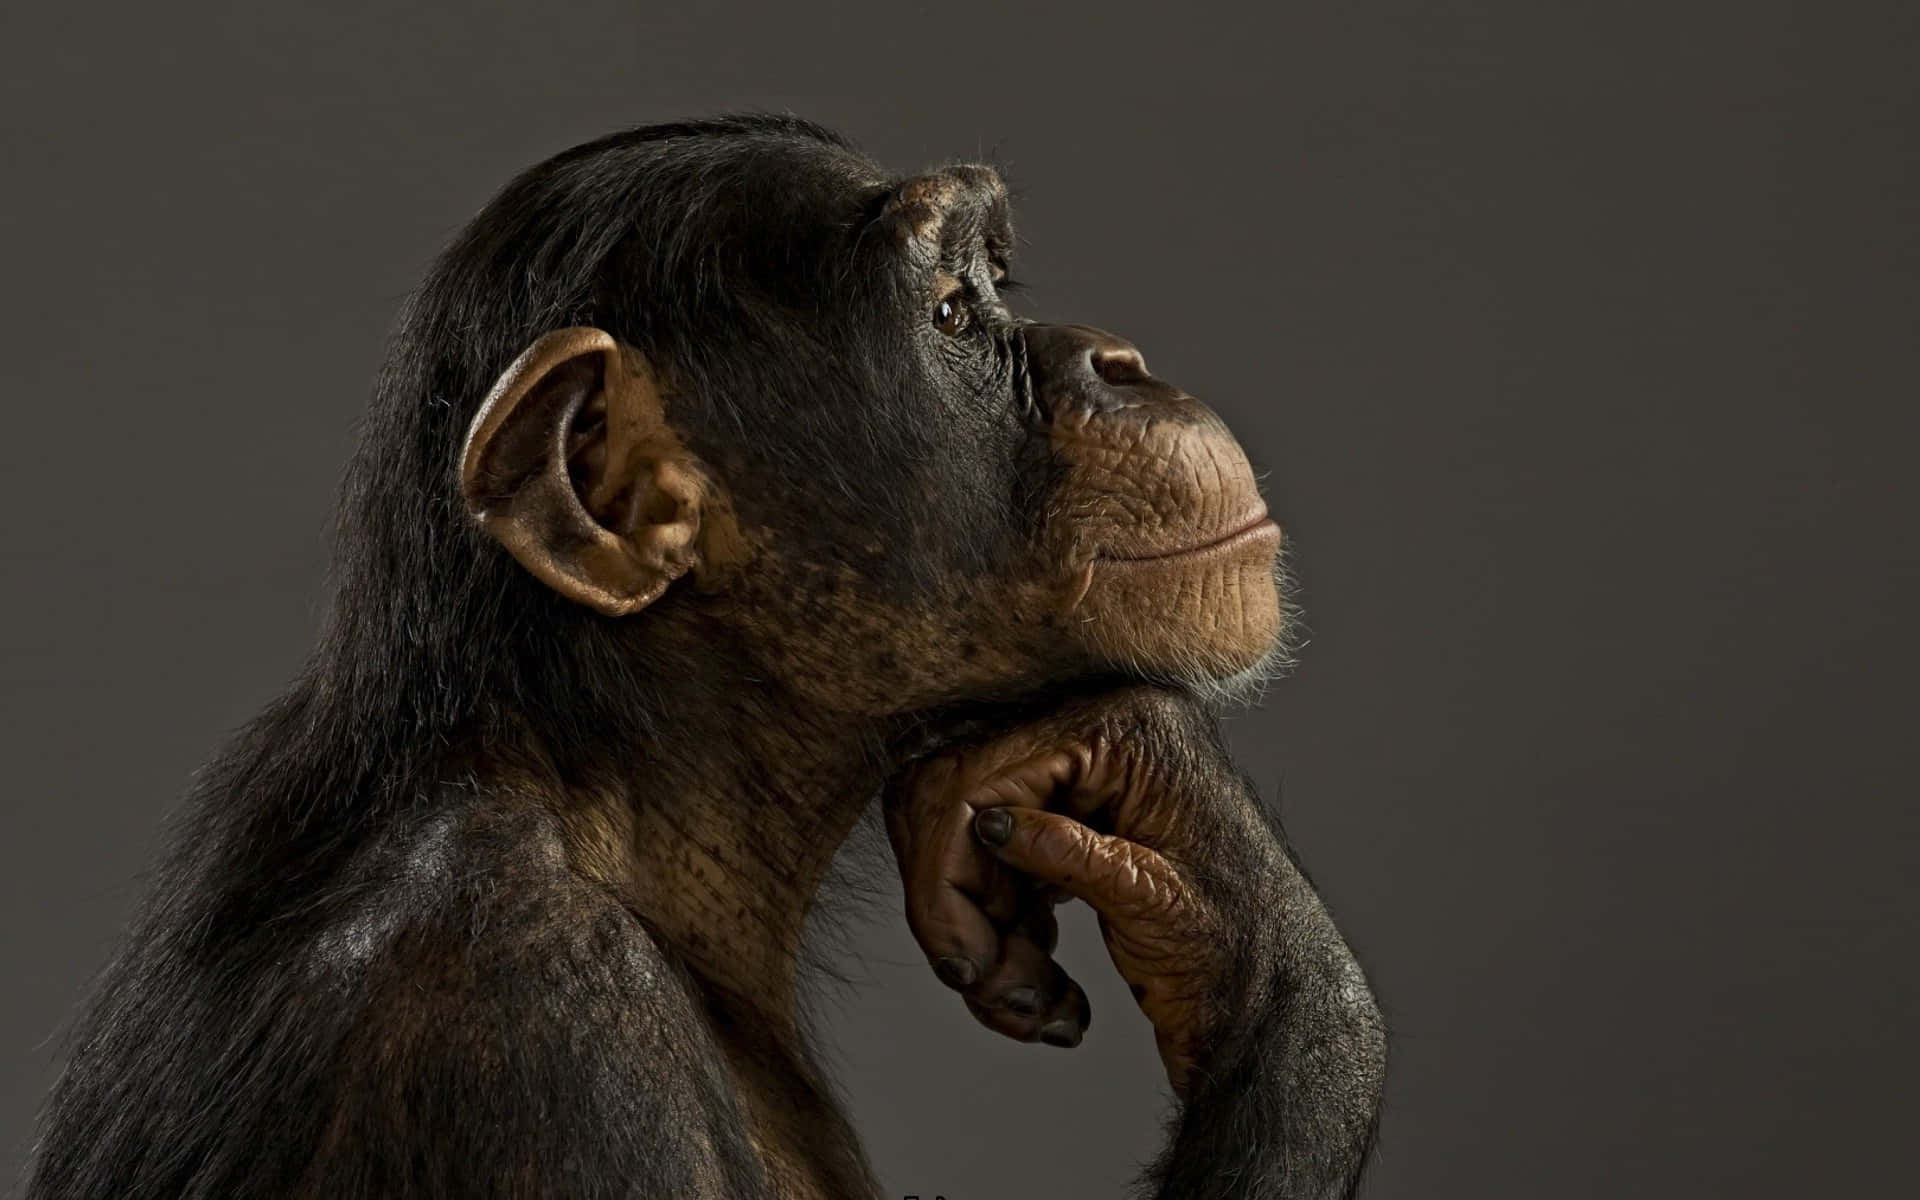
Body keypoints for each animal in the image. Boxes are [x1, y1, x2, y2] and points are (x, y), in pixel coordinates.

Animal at [23, 114, 1385, 1199]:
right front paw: (1256, 921)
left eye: (997, 282)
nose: (1122, 360)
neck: (610, 793)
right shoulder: (538, 1032)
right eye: (952, 314)